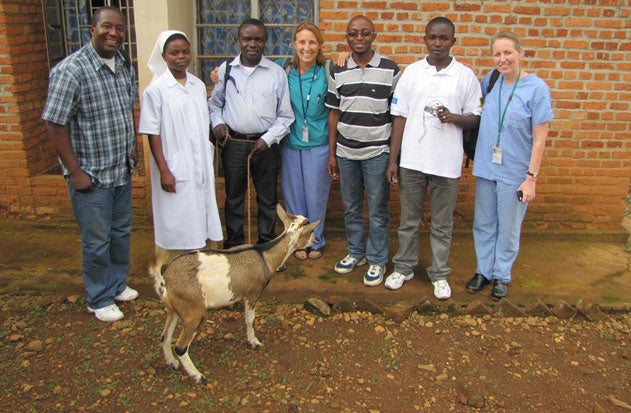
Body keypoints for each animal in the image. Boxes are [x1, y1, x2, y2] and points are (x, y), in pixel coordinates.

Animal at [149, 204, 320, 382]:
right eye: (310, 231)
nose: (315, 240)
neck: (264, 255)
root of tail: (165, 279)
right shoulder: (252, 293)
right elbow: (250, 319)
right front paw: (254, 342)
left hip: (174, 309)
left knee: (164, 336)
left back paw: (172, 363)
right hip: (193, 311)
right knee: (180, 347)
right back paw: (197, 376)